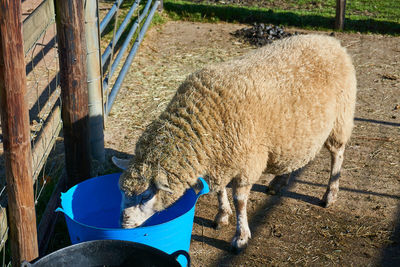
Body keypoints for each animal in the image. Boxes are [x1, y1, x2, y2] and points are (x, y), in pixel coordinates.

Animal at [114, 34, 358, 254]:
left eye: (146, 195)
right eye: (122, 191)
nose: (123, 224)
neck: (202, 121)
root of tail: (330, 41)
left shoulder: (246, 164)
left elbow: (240, 201)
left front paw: (241, 237)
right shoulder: (221, 160)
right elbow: (220, 190)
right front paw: (222, 215)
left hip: (341, 119)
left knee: (337, 154)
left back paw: (330, 194)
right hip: (296, 134)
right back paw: (279, 181)